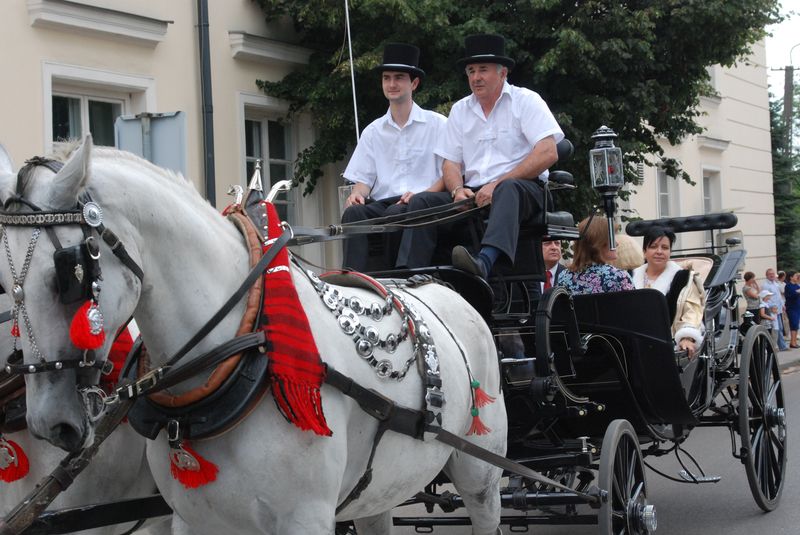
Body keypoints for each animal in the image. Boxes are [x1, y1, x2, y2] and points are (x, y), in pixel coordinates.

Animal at [0, 136, 507, 535]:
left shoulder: (305, 518)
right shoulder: (192, 520)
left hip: (481, 474)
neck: (245, 349)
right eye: (7, 288)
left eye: (67, 274)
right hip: (376, 489)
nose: (50, 424)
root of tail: (444, 285)